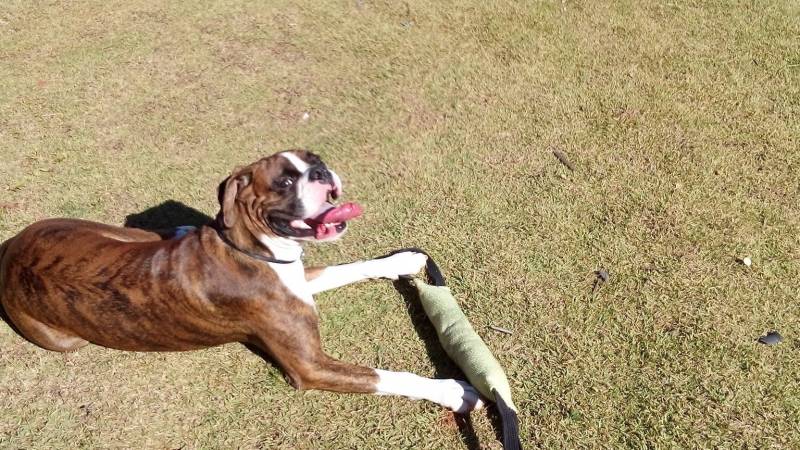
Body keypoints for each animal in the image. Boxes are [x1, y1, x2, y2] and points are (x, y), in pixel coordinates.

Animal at [0, 149, 484, 414]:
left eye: (314, 160)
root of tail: (10, 251)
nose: (321, 171)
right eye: (285, 180)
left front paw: (401, 259)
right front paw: (454, 389)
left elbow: (348, 267)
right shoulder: (310, 365)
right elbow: (387, 376)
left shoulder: (299, 276)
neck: (252, 248)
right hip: (66, 340)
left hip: (108, 233)